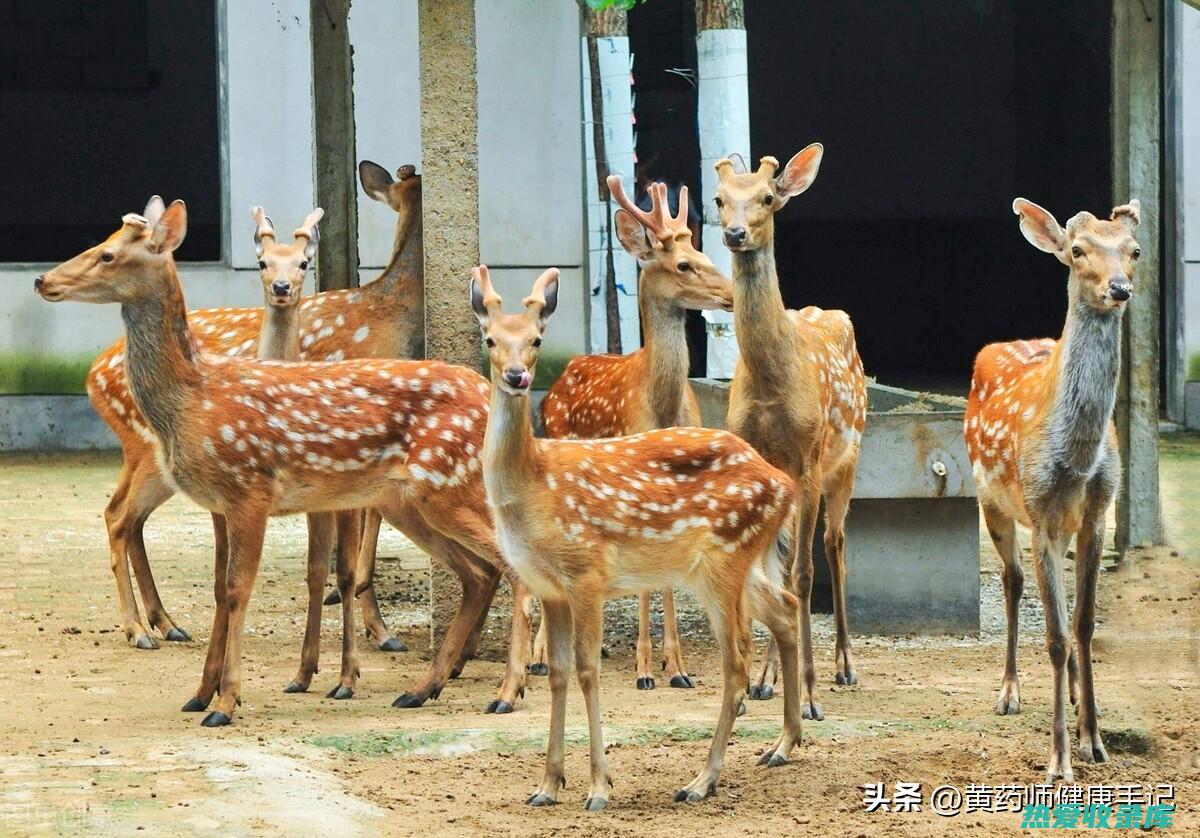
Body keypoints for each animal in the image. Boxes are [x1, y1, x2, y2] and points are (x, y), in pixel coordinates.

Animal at [472, 264, 801, 806]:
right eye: (490, 339)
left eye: (538, 339)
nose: (518, 377)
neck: (532, 485)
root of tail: (786, 484)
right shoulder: (550, 587)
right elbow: (557, 673)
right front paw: (547, 785)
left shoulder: (586, 572)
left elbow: (587, 670)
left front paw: (599, 787)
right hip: (737, 563)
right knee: (787, 611)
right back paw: (783, 745)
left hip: (725, 560)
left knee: (736, 665)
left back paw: (701, 781)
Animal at [540, 176, 734, 686]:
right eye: (683, 264)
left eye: (704, 252)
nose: (731, 295)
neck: (661, 408)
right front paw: (647, 666)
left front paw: (677, 665)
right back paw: (543, 654)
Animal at [705, 145, 868, 720]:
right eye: (718, 198)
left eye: (767, 198)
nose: (735, 233)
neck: (774, 387)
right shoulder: (761, 460)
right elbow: (769, 571)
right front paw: (756, 682)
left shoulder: (810, 457)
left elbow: (803, 573)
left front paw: (812, 695)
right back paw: (771, 677)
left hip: (848, 458)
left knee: (835, 546)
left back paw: (845, 666)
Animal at [964, 196, 1142, 782]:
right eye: (1078, 250)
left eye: (1134, 250)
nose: (1119, 288)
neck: (1078, 460)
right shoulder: (1040, 510)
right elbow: (1057, 635)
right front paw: (1059, 760)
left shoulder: (1098, 512)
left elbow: (1083, 625)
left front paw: (1095, 739)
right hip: (991, 500)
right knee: (1012, 579)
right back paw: (1009, 692)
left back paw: (1069, 696)